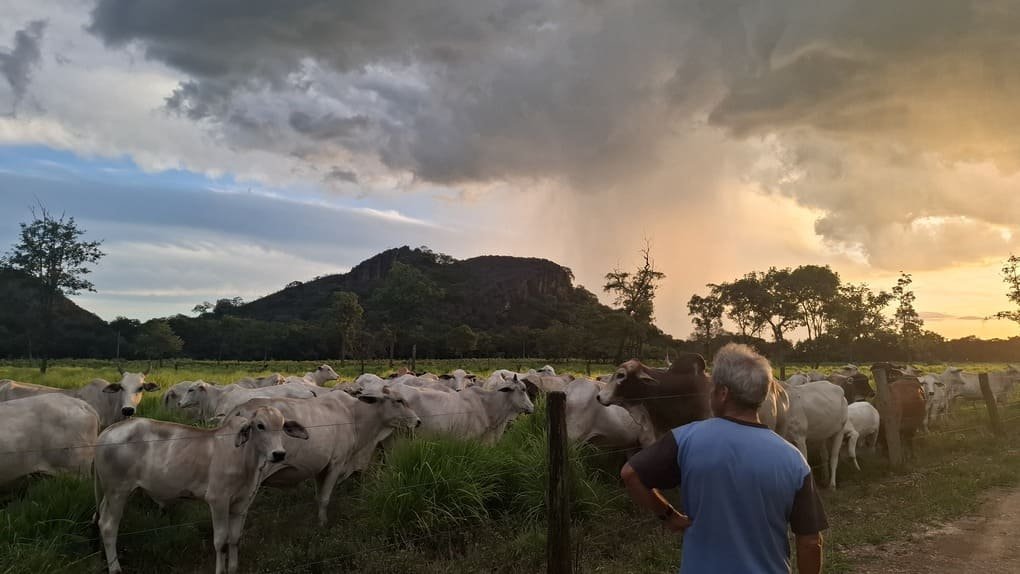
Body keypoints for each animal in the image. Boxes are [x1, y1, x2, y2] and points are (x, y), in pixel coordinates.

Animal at [94, 406, 308, 574]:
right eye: (260, 425)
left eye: (282, 426)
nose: (279, 454)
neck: (244, 457)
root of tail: (107, 431)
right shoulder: (218, 500)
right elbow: (221, 541)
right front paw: (221, 570)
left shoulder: (242, 502)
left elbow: (235, 538)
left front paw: (233, 568)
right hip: (118, 491)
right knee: (108, 526)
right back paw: (115, 568)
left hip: (112, 493)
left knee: (102, 519)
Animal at [227, 387, 420, 525]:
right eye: (399, 400)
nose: (418, 421)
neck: (354, 415)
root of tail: (238, 411)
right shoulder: (336, 463)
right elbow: (325, 498)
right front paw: (323, 523)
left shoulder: (321, 468)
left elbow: (319, 497)